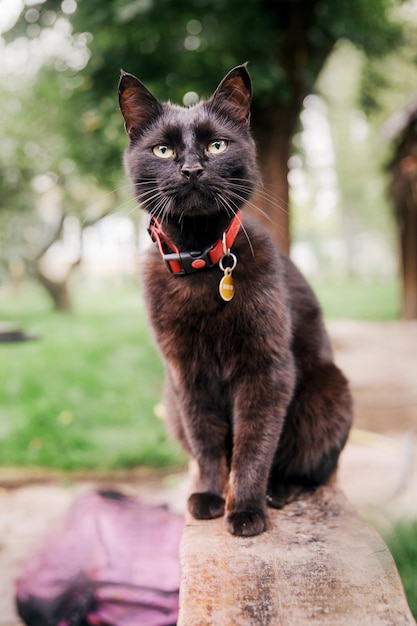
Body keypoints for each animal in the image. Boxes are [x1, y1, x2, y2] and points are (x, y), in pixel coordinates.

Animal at [117, 63, 352, 532]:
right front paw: (210, 494)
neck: (200, 262)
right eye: (163, 150)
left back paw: (277, 491)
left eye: (217, 145)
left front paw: (244, 508)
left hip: (329, 393)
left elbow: (253, 441)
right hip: (170, 401)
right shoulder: (187, 375)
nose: (191, 169)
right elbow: (207, 440)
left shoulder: (266, 368)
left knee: (311, 469)